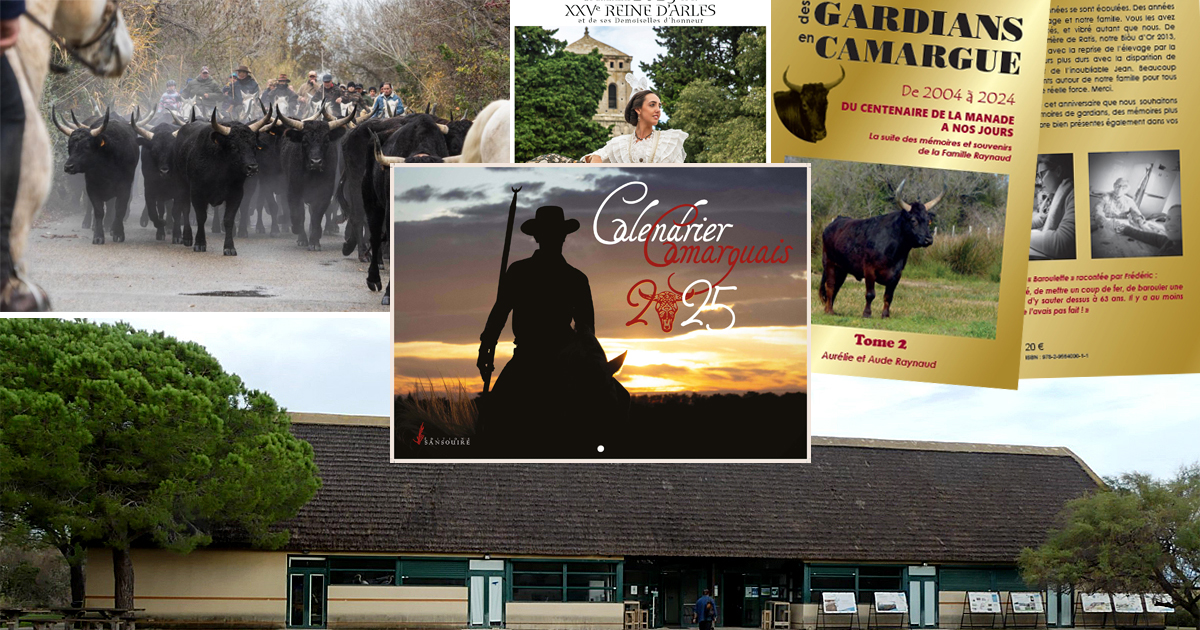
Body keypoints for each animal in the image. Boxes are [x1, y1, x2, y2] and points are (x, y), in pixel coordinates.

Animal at [4, 0, 133, 307]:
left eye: (86, 147)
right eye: (69, 146)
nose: (68, 167)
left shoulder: (124, 187)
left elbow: (118, 210)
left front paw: (117, 233)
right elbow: (98, 211)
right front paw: (98, 235)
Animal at [820, 190, 940, 319]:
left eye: (928, 221)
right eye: (913, 220)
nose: (928, 239)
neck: (893, 252)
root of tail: (835, 222)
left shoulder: (897, 274)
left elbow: (888, 296)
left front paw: (885, 315)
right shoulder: (869, 270)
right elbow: (870, 294)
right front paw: (867, 313)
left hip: (842, 269)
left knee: (836, 287)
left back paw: (830, 309)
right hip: (830, 263)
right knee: (830, 286)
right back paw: (829, 310)